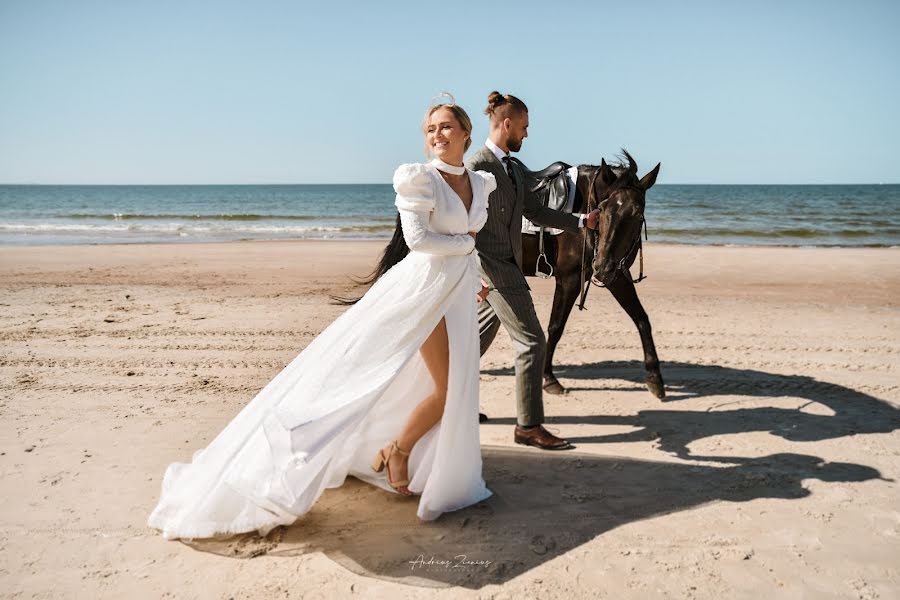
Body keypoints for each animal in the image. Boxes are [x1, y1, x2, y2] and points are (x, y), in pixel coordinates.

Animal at [520, 151, 660, 398]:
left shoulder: (616, 276)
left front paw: (655, 377)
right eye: (603, 209)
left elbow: (642, 319)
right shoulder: (570, 279)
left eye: (637, 214)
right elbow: (555, 327)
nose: (602, 266)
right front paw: (549, 378)